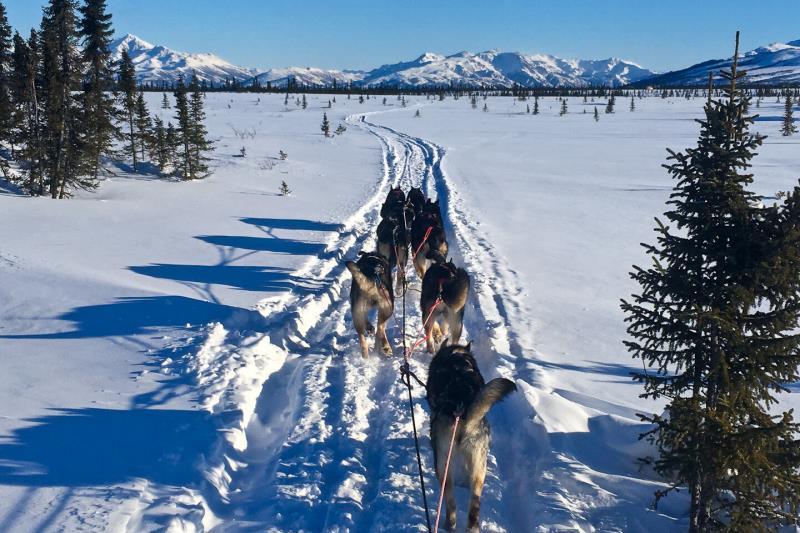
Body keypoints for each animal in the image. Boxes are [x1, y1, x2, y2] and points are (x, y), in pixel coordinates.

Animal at [424, 342, 520, 528]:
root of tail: (462, 412)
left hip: (443, 464)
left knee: (450, 503)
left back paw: (449, 524)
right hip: (479, 469)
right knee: (473, 511)